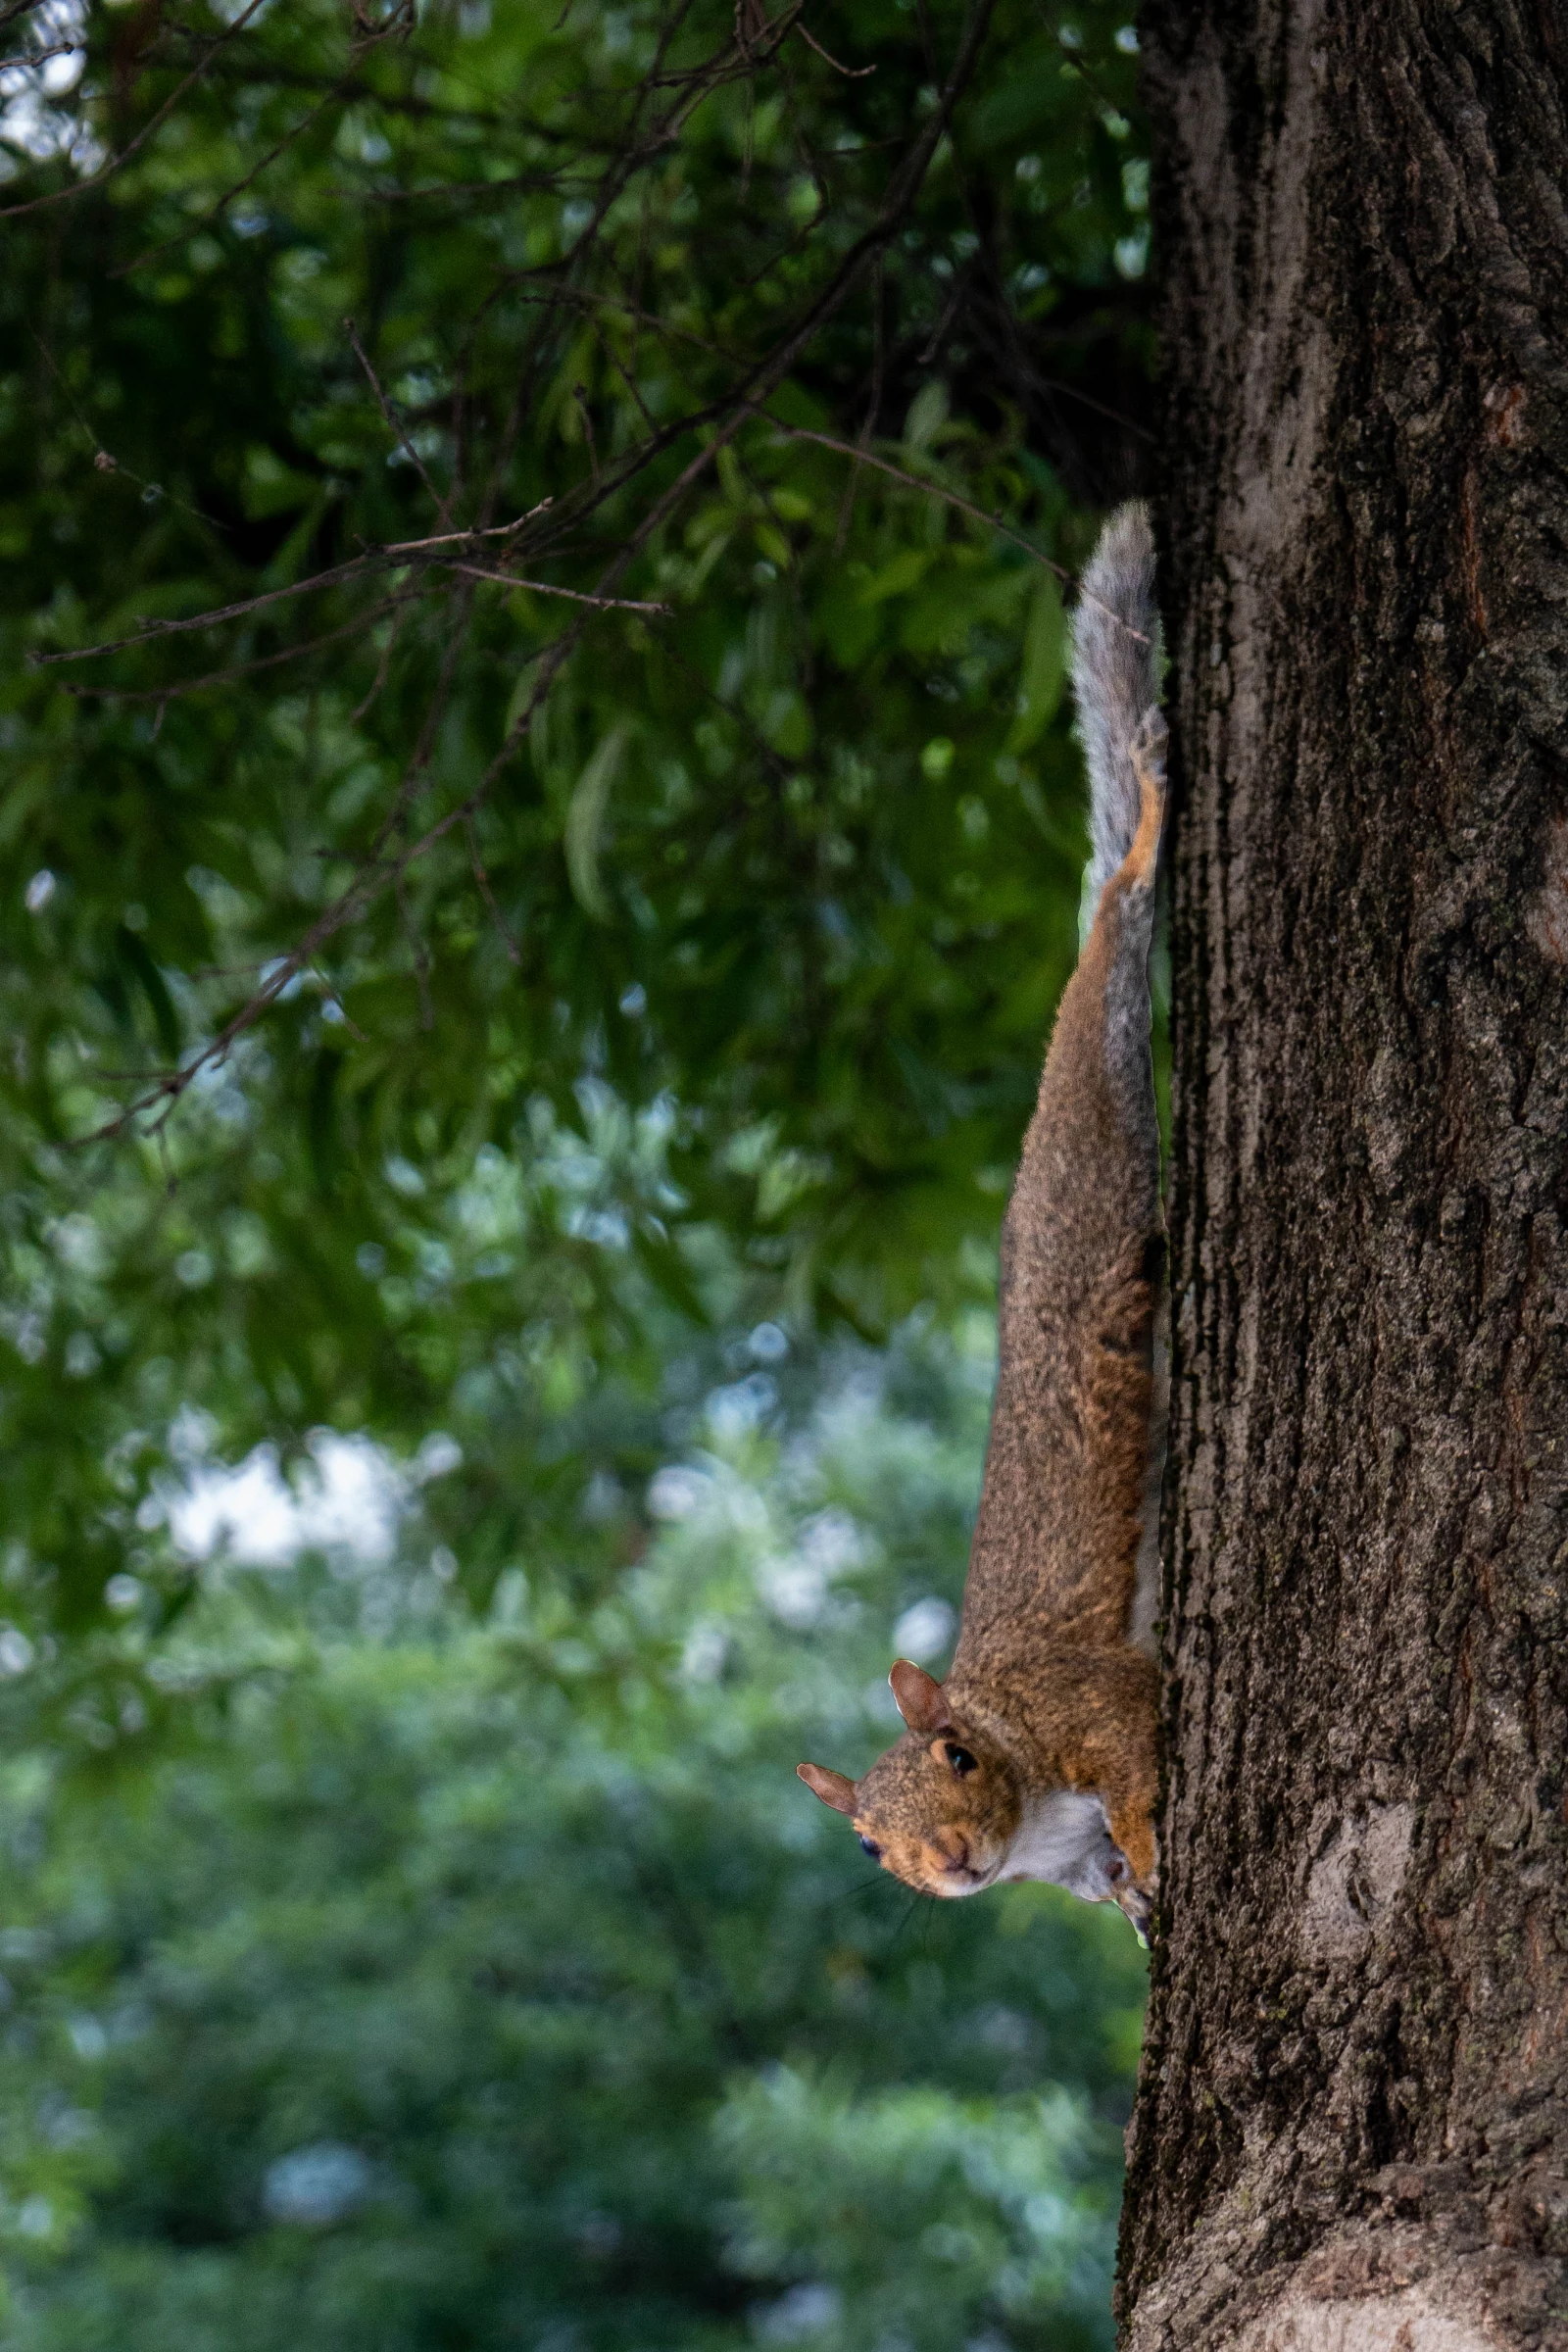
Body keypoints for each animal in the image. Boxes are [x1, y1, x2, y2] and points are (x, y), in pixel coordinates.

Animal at [798, 503, 1167, 1942]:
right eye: (865, 1847)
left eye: (955, 1755)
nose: (950, 1863)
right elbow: (1109, 1879)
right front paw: (1141, 1906)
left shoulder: (1094, 1701)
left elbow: (1134, 1756)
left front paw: (1156, 1842)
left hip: (1095, 1139)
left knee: (1122, 910)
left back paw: (1148, 828)